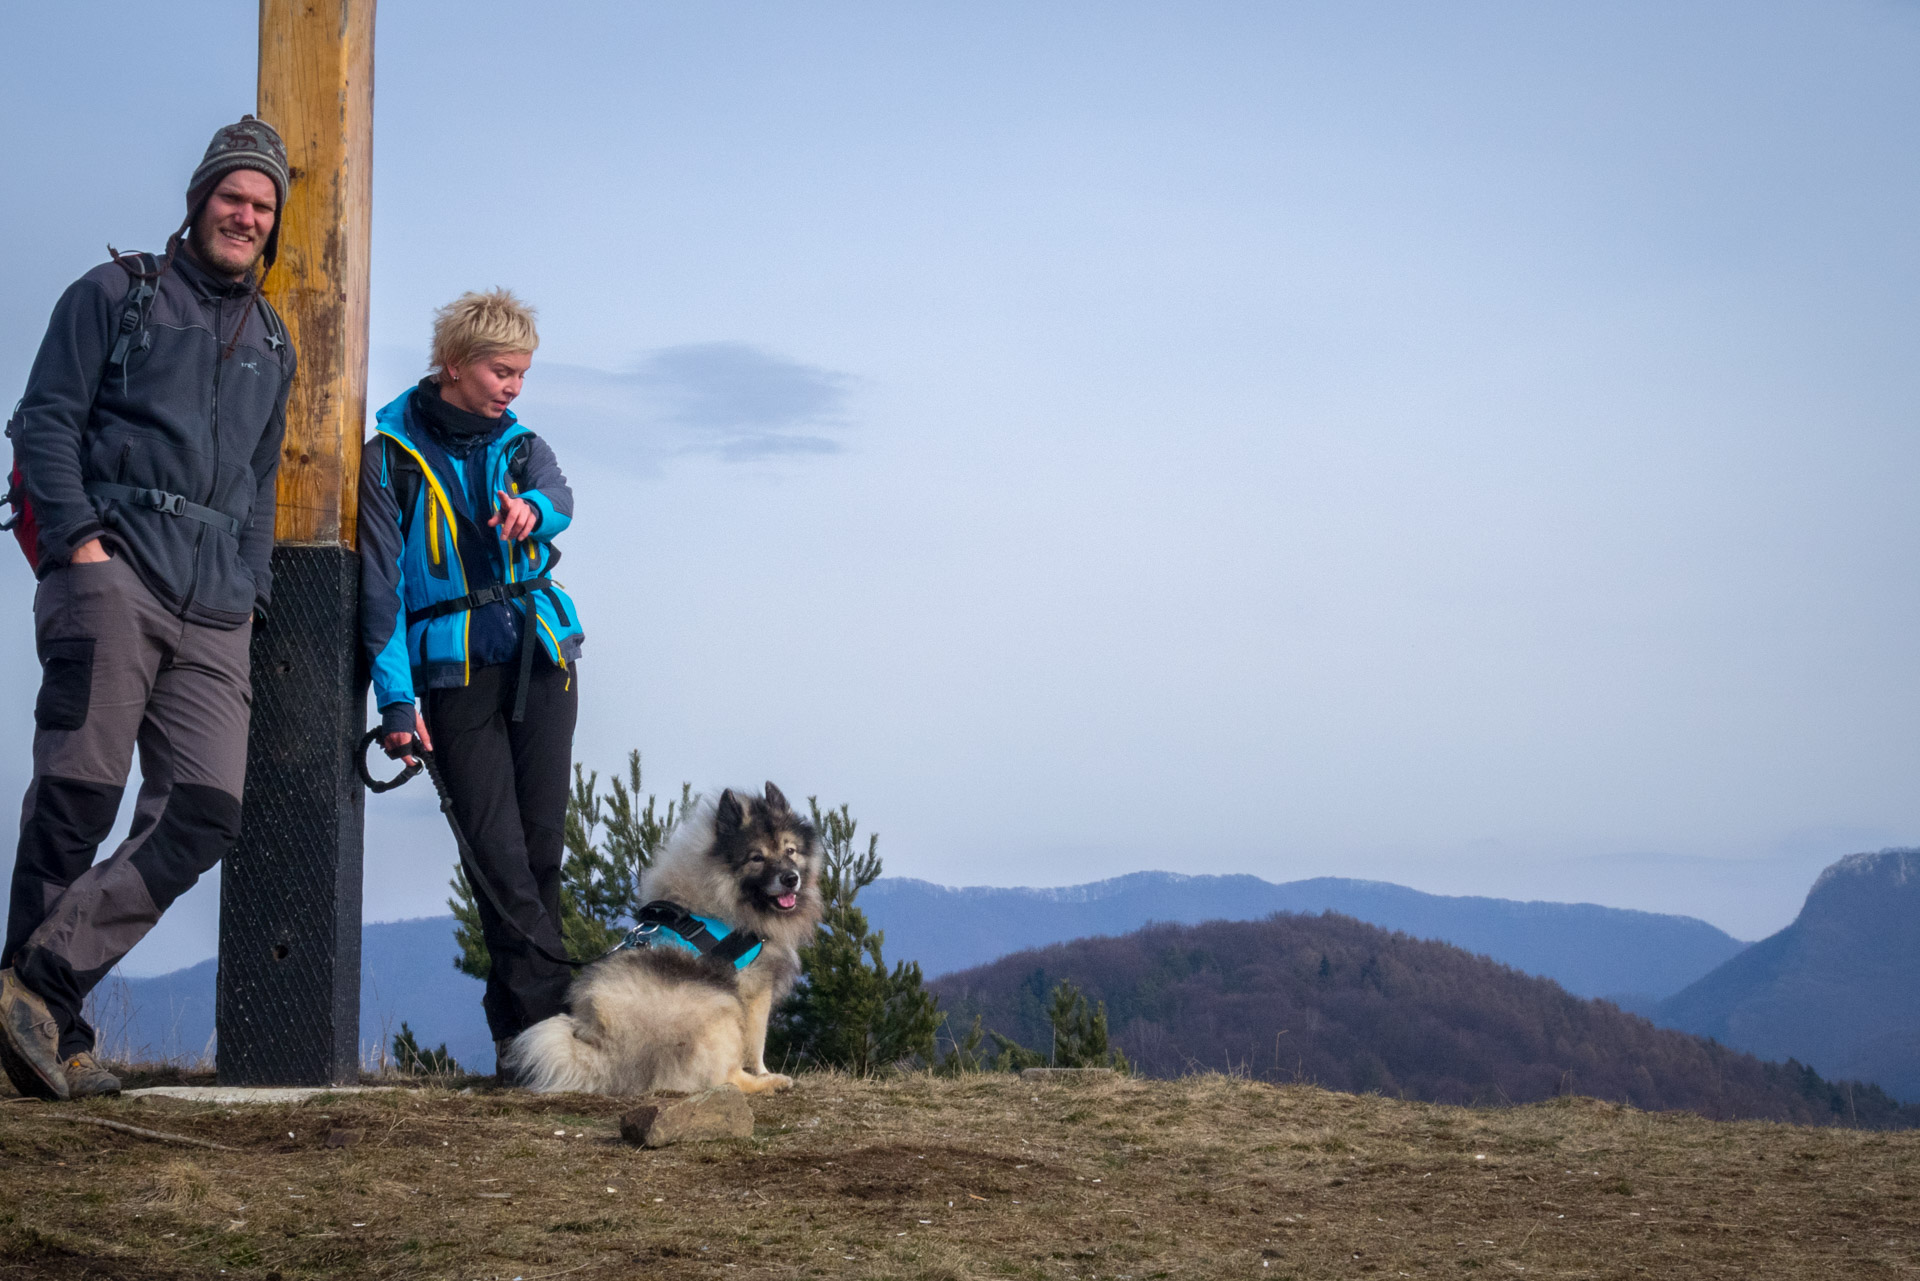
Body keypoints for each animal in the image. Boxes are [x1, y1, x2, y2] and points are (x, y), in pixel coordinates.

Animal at [499, 787, 821, 1098]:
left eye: (790, 850)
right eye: (757, 858)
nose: (790, 878)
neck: (722, 894)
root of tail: (610, 1055)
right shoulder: (754, 991)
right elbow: (756, 1045)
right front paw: (764, 1073)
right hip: (719, 1003)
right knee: (724, 1077)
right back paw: (771, 1083)